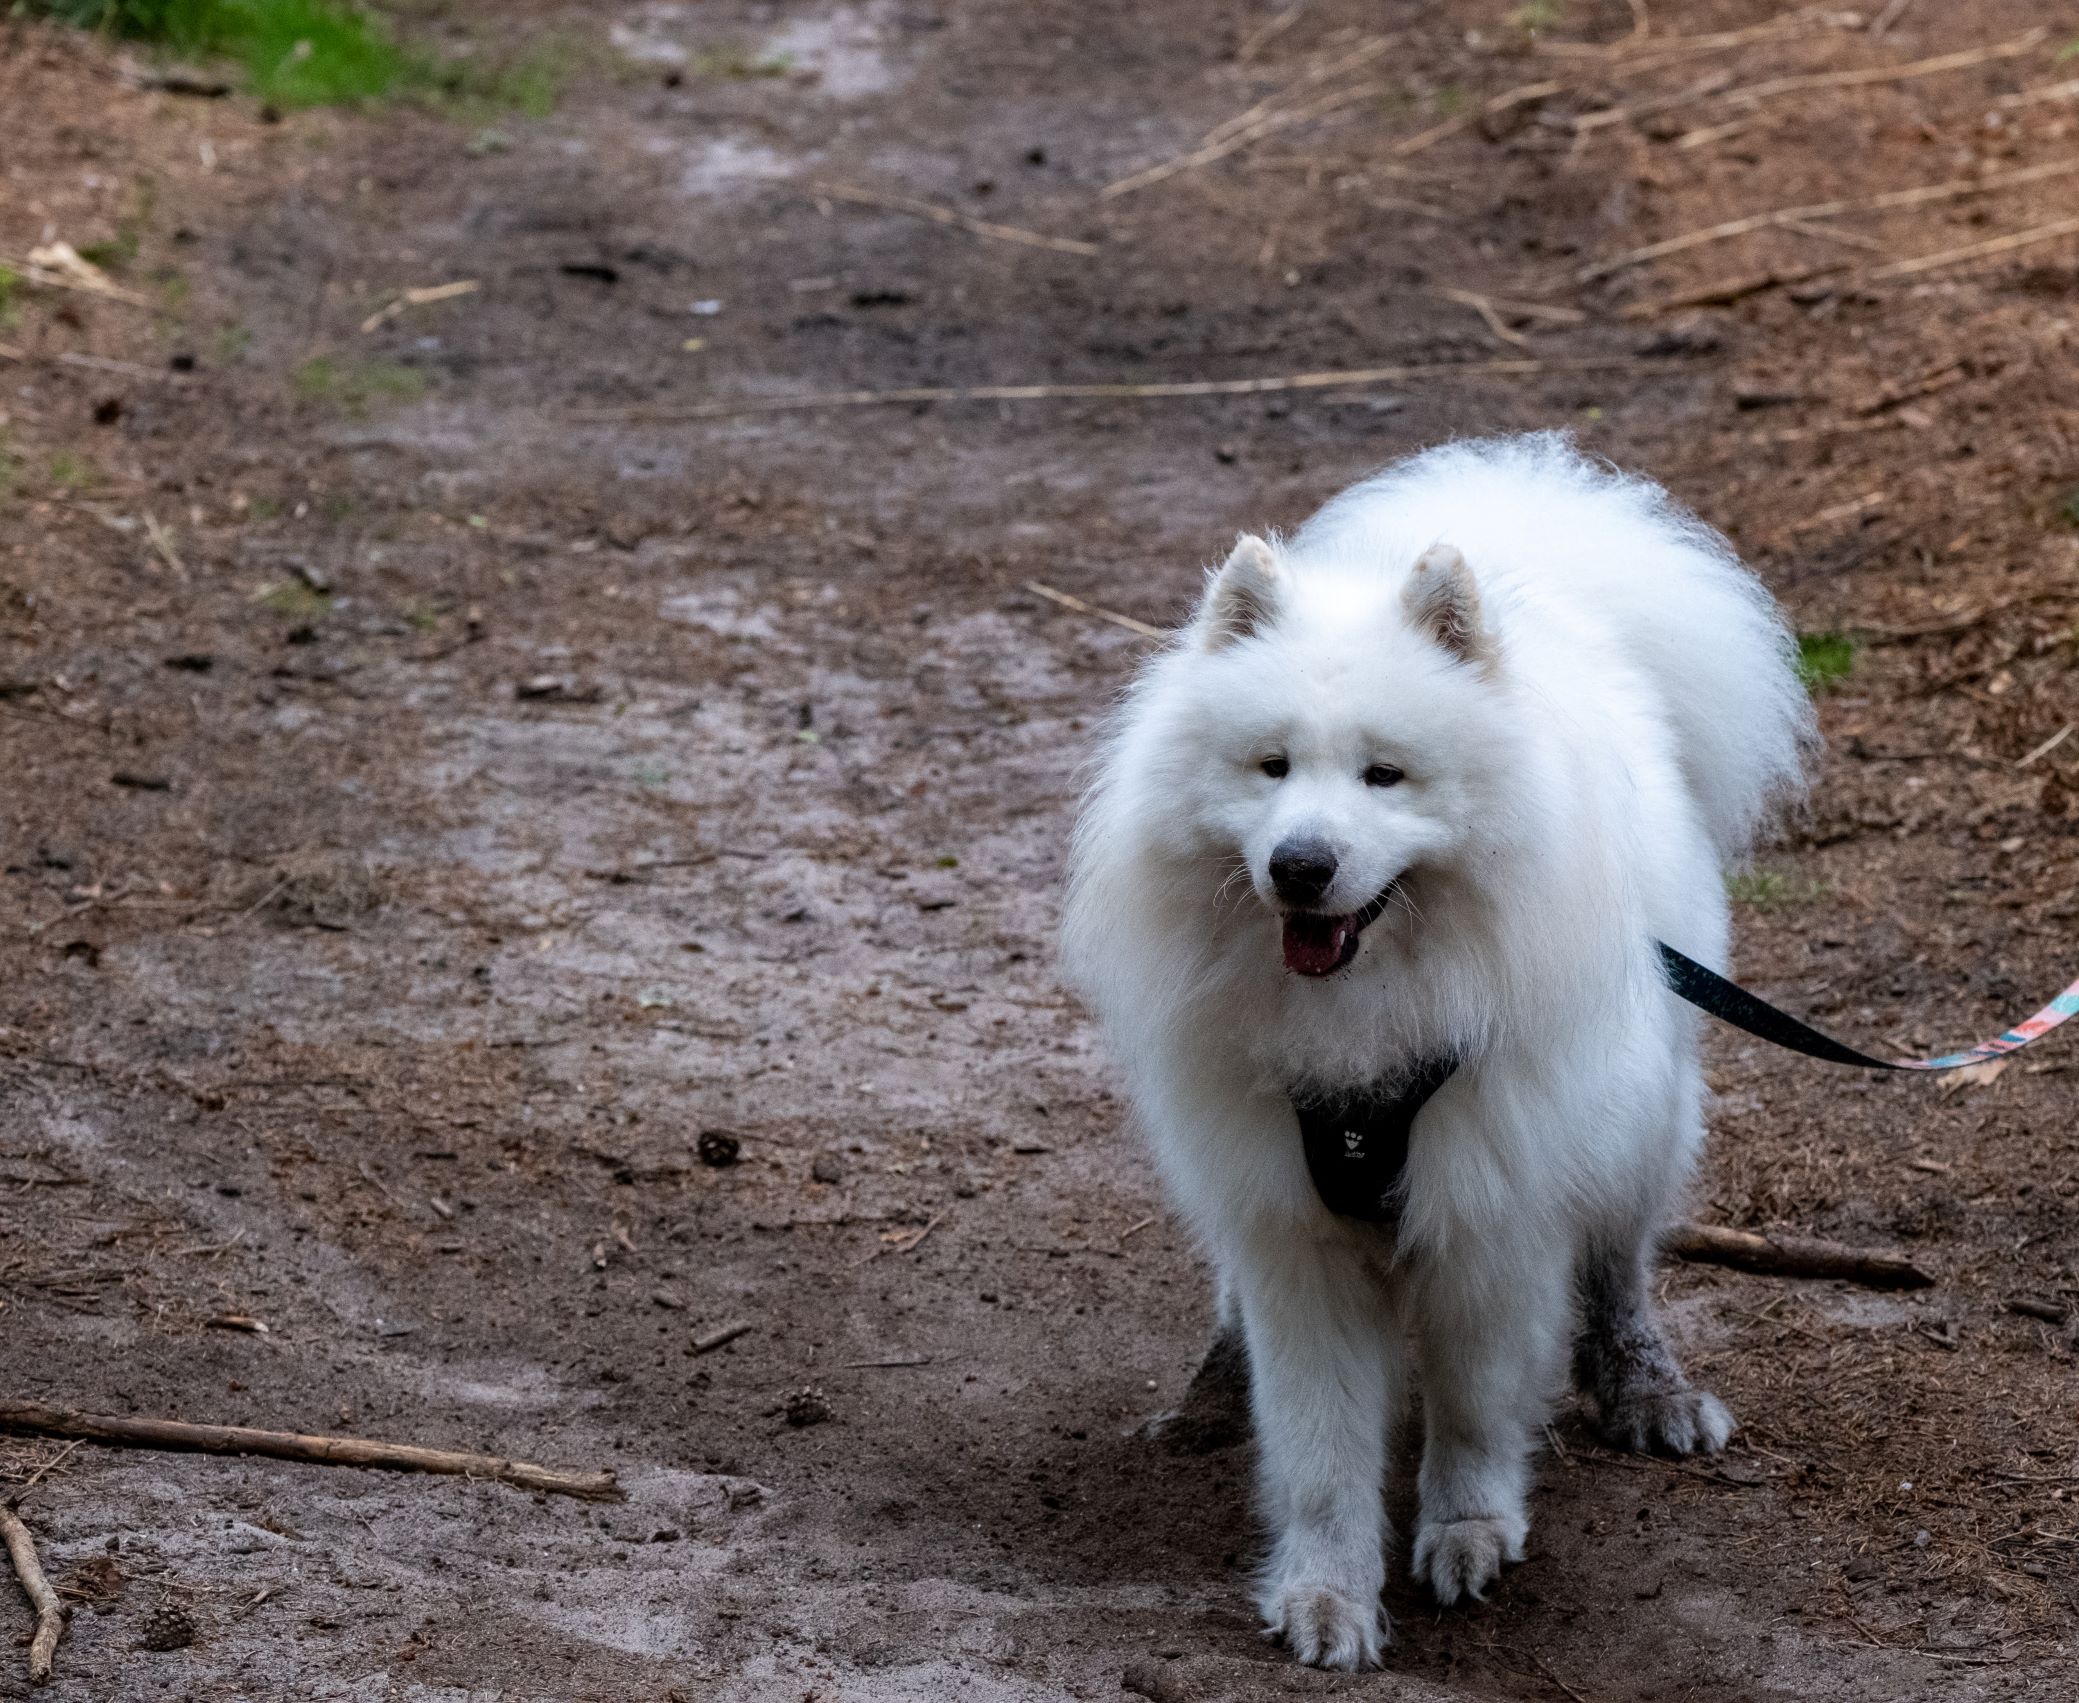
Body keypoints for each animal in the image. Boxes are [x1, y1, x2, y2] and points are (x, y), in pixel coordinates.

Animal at [1064, 432, 1812, 1671]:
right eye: (1271, 768)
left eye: (1385, 774)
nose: (1301, 864)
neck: (1370, 1012)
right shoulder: (1293, 1226)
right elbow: (1319, 1447)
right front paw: (1326, 1593)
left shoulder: (1493, 1209)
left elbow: (1473, 1402)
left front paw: (1467, 1529)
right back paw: (1213, 1391)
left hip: (1643, 1114)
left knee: (1621, 1264)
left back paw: (1648, 1388)